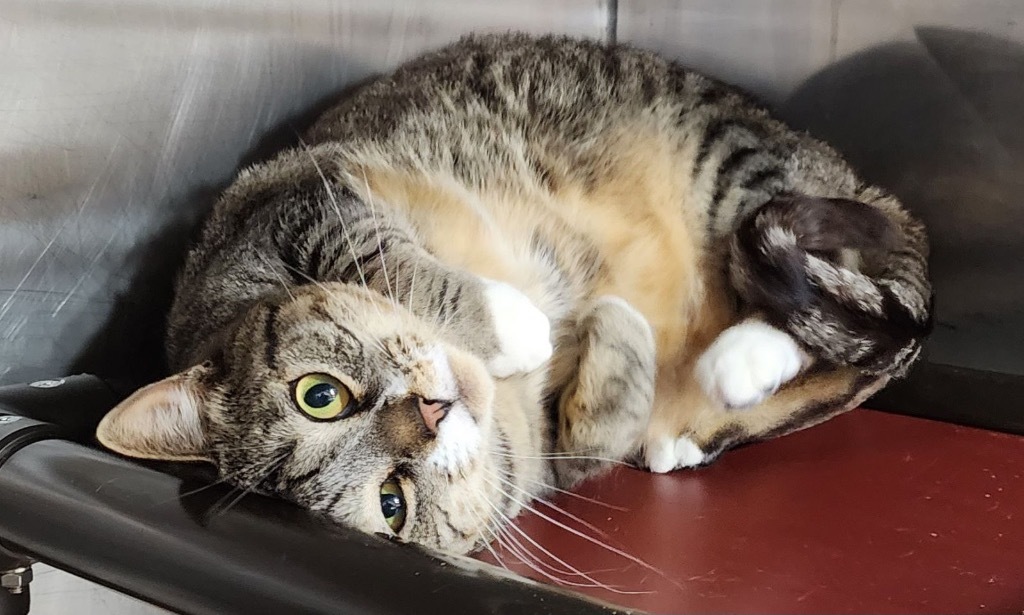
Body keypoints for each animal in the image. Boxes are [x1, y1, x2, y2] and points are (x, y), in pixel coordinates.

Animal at [94, 31, 929, 552]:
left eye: (318, 394)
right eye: (392, 502)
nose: (430, 412)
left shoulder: (298, 207)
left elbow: (389, 254)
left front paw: (516, 319)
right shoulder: (555, 455)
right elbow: (592, 430)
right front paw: (584, 338)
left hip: (733, 165)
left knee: (874, 316)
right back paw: (717, 392)